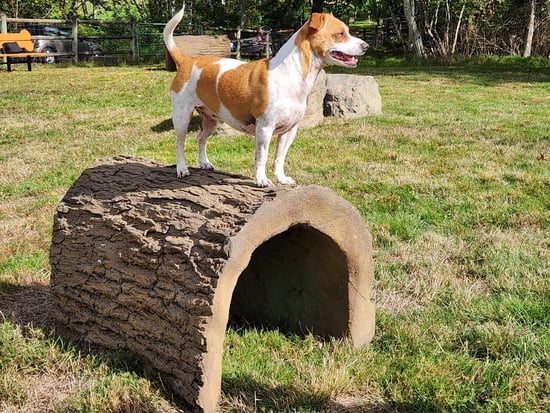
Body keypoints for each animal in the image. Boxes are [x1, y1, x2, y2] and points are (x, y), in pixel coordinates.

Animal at [165, 6, 370, 187]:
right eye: (340, 34)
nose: (366, 46)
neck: (289, 74)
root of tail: (186, 61)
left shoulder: (289, 131)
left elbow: (279, 158)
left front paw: (281, 178)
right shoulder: (264, 129)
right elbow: (261, 157)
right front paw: (261, 180)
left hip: (211, 119)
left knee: (200, 138)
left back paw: (204, 163)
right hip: (182, 117)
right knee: (179, 143)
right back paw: (182, 169)